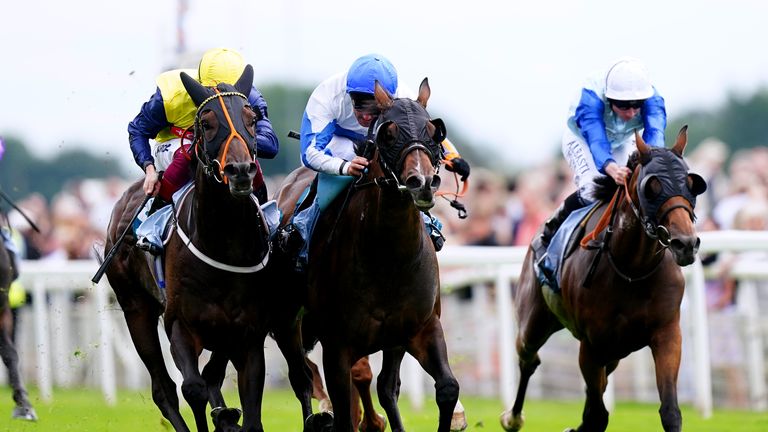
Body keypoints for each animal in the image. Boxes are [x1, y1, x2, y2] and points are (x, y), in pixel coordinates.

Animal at [105, 65, 312, 432]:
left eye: (252, 118)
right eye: (206, 121)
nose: (240, 170)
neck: (223, 245)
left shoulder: (248, 332)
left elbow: (247, 403)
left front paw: (231, 416)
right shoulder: (179, 325)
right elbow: (193, 387)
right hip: (136, 308)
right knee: (164, 388)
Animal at [280, 79, 462, 430]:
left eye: (434, 132)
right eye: (387, 134)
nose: (422, 182)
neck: (389, 260)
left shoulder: (421, 328)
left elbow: (447, 388)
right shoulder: (337, 345)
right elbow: (342, 402)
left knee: (385, 387)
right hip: (287, 328)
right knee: (302, 378)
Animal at [504, 126, 708, 432]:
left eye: (690, 183)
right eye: (652, 187)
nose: (685, 244)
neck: (632, 270)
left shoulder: (667, 333)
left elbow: (670, 411)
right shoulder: (592, 343)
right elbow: (597, 415)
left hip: (614, 352)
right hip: (534, 322)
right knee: (529, 358)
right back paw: (513, 417)